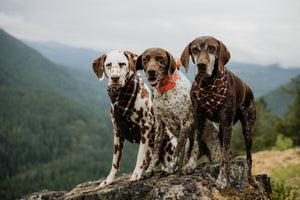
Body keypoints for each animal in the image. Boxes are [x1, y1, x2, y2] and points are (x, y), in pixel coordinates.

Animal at [92, 50, 175, 188]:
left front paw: (136, 174)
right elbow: (115, 161)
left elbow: (139, 157)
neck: (122, 97)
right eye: (108, 65)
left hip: (169, 149)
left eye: (122, 64)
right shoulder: (117, 133)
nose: (115, 78)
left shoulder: (145, 128)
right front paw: (109, 179)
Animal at [135, 48, 220, 177]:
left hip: (216, 154)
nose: (151, 71)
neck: (166, 89)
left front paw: (169, 169)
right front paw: (149, 170)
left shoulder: (186, 123)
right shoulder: (159, 124)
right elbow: (155, 152)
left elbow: (177, 150)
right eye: (145, 59)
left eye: (160, 58)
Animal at [180, 36, 255, 191]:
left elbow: (225, 154)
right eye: (194, 49)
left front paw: (222, 180)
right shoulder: (199, 118)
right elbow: (195, 145)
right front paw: (190, 165)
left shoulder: (227, 124)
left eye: (212, 48)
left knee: (249, 155)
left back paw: (249, 172)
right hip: (222, 130)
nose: (201, 65)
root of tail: (249, 89)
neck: (207, 84)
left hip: (247, 128)